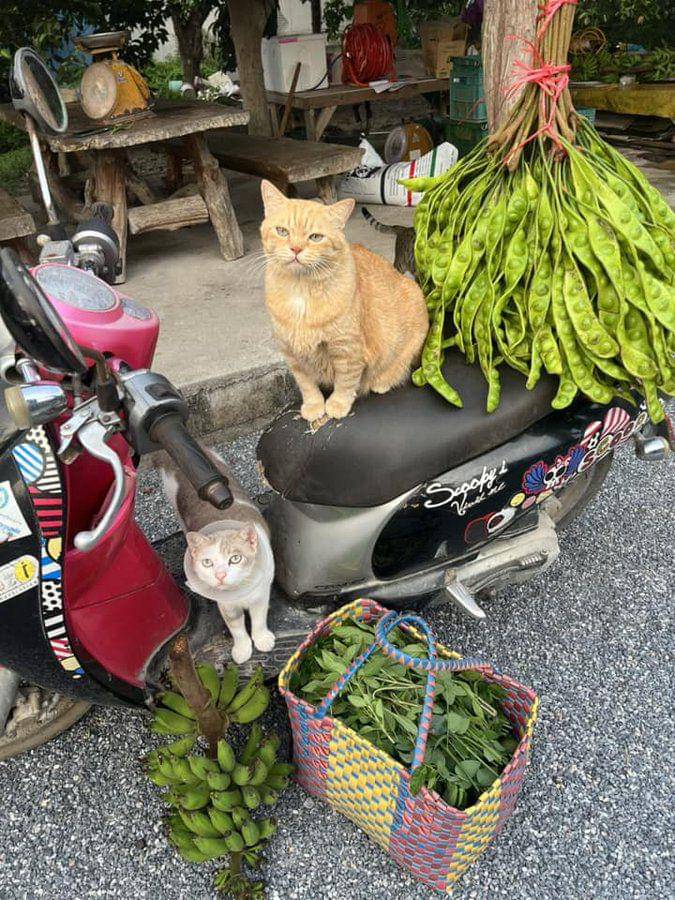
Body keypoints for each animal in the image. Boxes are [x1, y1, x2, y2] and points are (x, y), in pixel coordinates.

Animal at [157, 449, 275, 665]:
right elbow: (237, 629)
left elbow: (259, 619)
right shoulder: (227, 606)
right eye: (207, 563)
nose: (220, 575)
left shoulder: (261, 595)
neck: (240, 592)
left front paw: (262, 639)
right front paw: (242, 649)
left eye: (235, 559)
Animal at [260, 179, 429, 423]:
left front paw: (337, 405)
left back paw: (382, 382)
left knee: (400, 366)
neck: (301, 292)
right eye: (282, 231)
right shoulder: (292, 354)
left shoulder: (347, 350)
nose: (296, 249)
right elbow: (307, 385)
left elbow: (345, 382)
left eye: (315, 237)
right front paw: (314, 406)